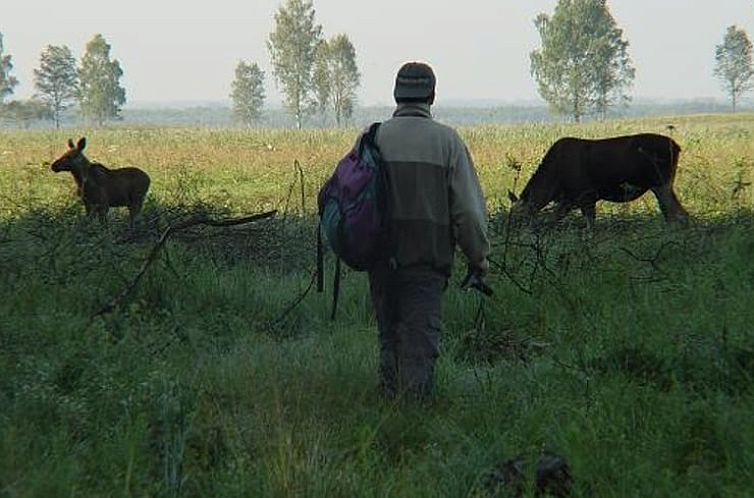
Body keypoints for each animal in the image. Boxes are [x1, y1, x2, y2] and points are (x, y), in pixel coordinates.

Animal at [506, 133, 688, 229]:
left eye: (517, 218)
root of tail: (677, 146)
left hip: (661, 183)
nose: (510, 232)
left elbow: (590, 227)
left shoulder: (585, 195)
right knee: (673, 213)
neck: (553, 186)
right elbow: (553, 220)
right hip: (662, 184)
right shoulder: (569, 199)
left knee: (678, 213)